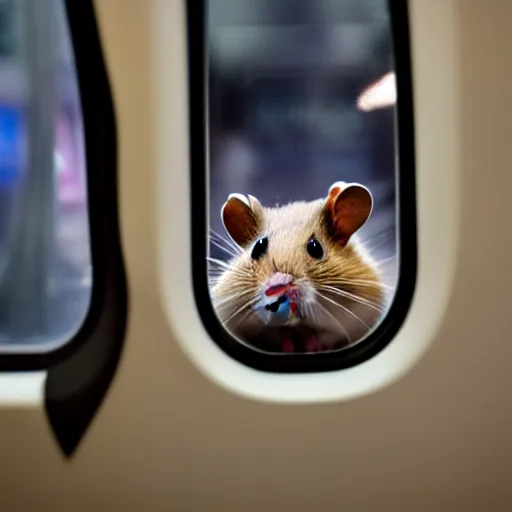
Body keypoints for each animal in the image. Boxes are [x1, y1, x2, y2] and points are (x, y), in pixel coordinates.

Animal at [208, 182, 388, 354]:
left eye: (315, 248)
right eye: (257, 248)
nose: (278, 284)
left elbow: (327, 335)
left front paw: (311, 346)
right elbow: (279, 334)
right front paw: (288, 346)